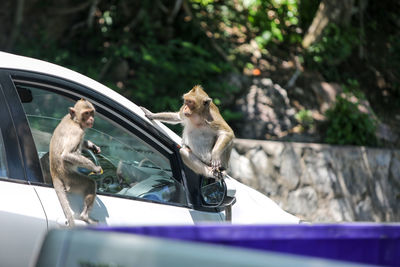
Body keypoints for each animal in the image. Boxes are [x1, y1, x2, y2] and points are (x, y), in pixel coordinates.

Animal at [49, 99, 102, 227]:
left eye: (91, 112)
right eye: (86, 113)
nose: (91, 119)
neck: (75, 120)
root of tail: (54, 172)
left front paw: (92, 146)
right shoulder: (77, 132)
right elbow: (67, 155)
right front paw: (95, 168)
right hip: (70, 179)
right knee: (90, 183)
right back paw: (85, 217)